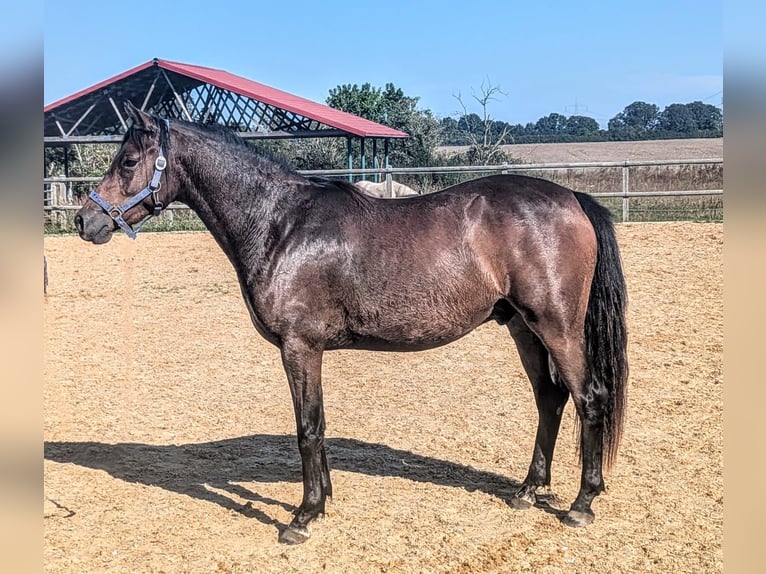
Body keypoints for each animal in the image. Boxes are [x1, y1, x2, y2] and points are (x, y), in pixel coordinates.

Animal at [76, 102, 632, 544]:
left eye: (128, 160)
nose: (86, 221)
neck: (280, 223)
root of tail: (571, 199)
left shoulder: (300, 346)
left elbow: (307, 427)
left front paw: (302, 517)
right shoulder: (308, 349)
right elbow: (318, 423)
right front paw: (322, 500)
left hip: (556, 326)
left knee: (589, 397)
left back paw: (581, 503)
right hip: (522, 327)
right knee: (550, 399)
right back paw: (529, 490)